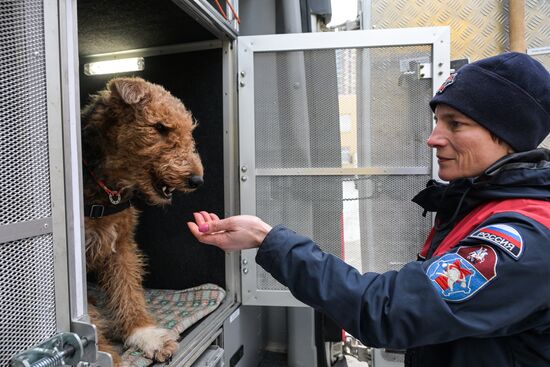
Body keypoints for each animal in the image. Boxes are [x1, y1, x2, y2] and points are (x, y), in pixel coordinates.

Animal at [81, 77, 204, 366]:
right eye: (159, 127)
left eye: (189, 130)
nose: (196, 179)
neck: (106, 186)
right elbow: (89, 322)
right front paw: (108, 355)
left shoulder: (120, 245)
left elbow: (128, 292)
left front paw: (145, 335)